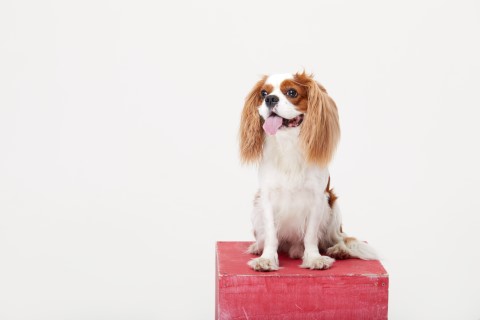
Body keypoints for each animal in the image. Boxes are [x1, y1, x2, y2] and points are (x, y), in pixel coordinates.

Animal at [240, 71, 378, 272]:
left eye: (292, 92)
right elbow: (271, 234)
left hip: (333, 207)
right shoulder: (266, 198)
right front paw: (266, 259)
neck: (288, 144)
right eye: (263, 93)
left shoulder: (317, 198)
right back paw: (258, 246)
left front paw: (314, 258)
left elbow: (311, 235)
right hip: (255, 207)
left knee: (336, 237)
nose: (270, 99)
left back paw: (338, 250)